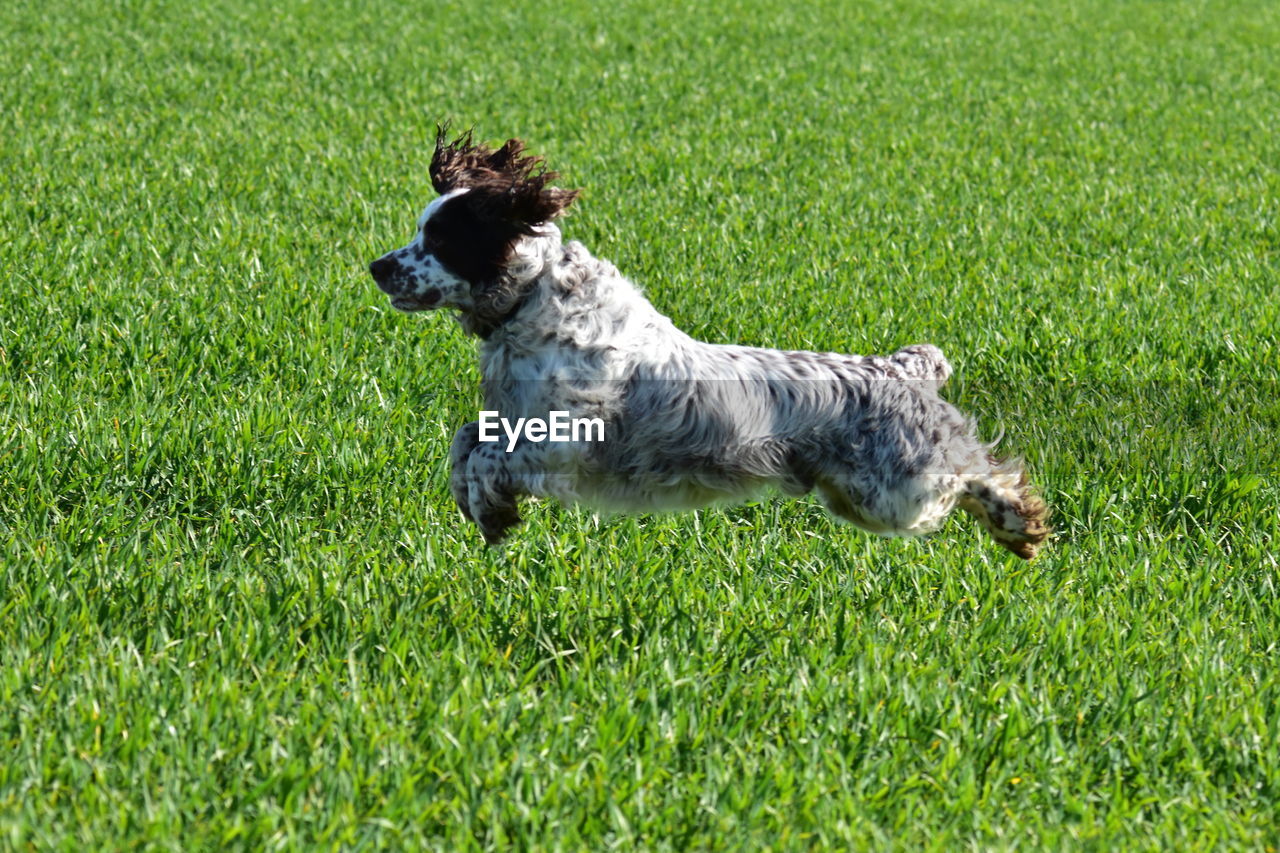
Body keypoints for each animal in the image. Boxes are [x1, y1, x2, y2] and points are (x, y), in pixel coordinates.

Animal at [371, 124, 1049, 550]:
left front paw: (490, 509)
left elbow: (489, 457)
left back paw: (1017, 523)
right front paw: (485, 510)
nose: (376, 266)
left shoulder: (562, 441)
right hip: (861, 497)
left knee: (973, 472)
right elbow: (465, 443)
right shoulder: (509, 419)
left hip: (898, 493)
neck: (530, 302)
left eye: (442, 239)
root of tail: (899, 368)